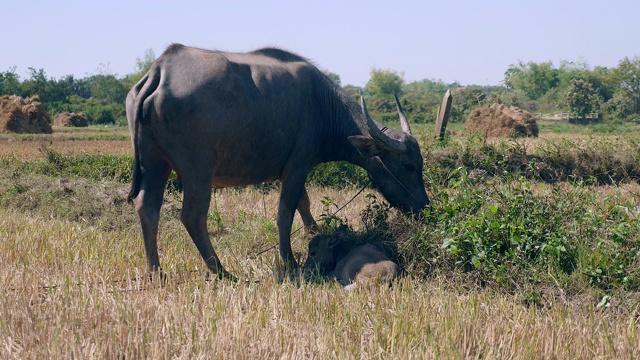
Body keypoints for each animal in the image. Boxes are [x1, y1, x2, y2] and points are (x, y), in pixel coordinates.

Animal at [127, 43, 428, 278]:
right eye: (409, 166)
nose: (424, 207)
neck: (323, 106)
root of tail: (160, 71)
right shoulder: (297, 167)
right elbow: (286, 213)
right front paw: (289, 260)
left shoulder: (298, 168)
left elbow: (304, 204)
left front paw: (313, 233)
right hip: (197, 169)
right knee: (193, 215)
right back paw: (221, 271)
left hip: (155, 163)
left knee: (147, 208)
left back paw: (155, 271)